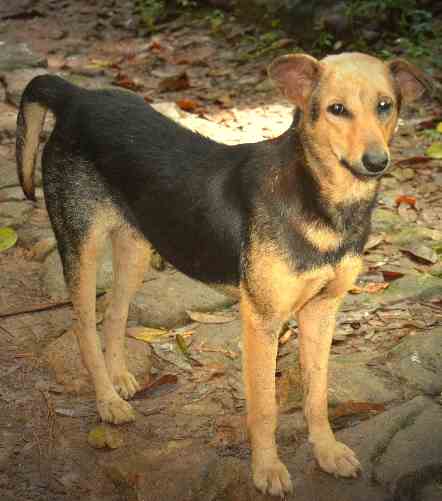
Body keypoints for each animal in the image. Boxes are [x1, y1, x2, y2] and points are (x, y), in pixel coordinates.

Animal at [15, 52, 430, 494]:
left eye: (385, 106)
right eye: (337, 109)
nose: (376, 162)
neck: (318, 195)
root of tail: (76, 96)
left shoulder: (322, 310)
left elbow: (317, 394)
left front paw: (327, 451)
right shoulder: (262, 321)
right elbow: (264, 408)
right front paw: (266, 469)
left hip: (138, 246)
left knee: (114, 312)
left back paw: (120, 379)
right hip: (82, 243)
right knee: (83, 326)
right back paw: (108, 401)